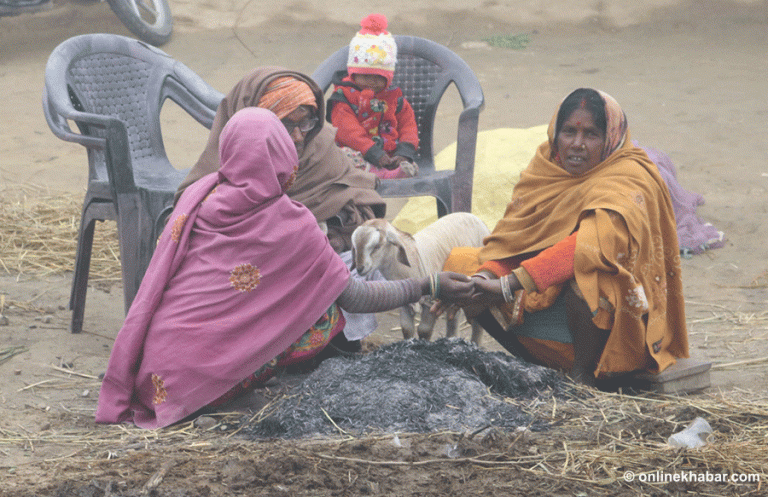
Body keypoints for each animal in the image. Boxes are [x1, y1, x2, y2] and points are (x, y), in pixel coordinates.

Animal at [352, 213, 488, 344]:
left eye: (377, 246)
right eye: (355, 247)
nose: (360, 268)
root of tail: (474, 217)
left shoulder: (430, 302)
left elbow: (424, 330)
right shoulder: (405, 302)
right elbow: (406, 329)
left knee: (477, 324)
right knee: (453, 318)